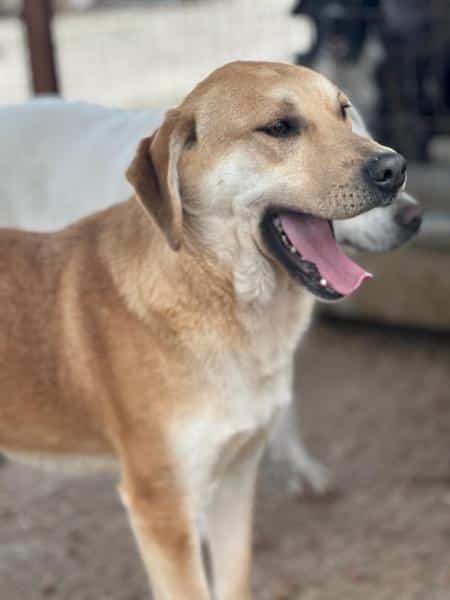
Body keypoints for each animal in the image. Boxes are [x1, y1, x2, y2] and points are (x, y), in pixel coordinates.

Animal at [0, 61, 415, 598]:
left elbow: (234, 578)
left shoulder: (235, 480)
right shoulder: (162, 510)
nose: (395, 169)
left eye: (344, 112)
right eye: (280, 127)